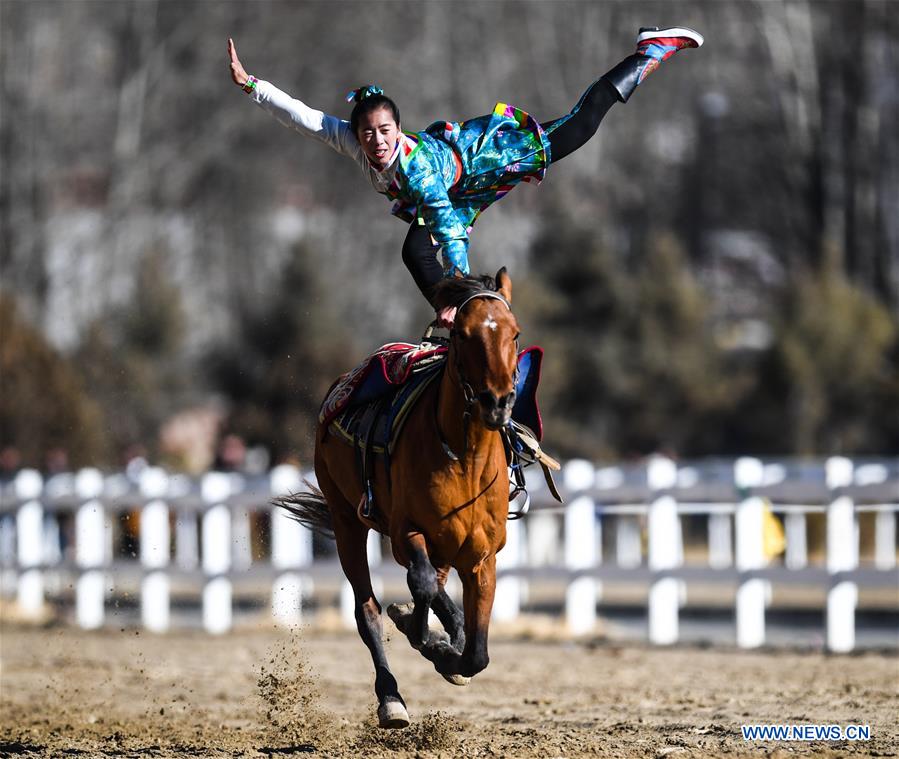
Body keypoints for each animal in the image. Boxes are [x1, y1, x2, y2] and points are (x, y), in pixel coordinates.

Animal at [276, 268, 521, 728]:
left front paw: (447, 649)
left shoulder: (482, 558)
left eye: (514, 334)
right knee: (369, 609)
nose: (496, 402)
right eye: (461, 334)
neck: (464, 458)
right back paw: (391, 695)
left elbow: (476, 653)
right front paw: (428, 639)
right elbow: (420, 585)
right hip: (347, 522)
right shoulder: (405, 531)